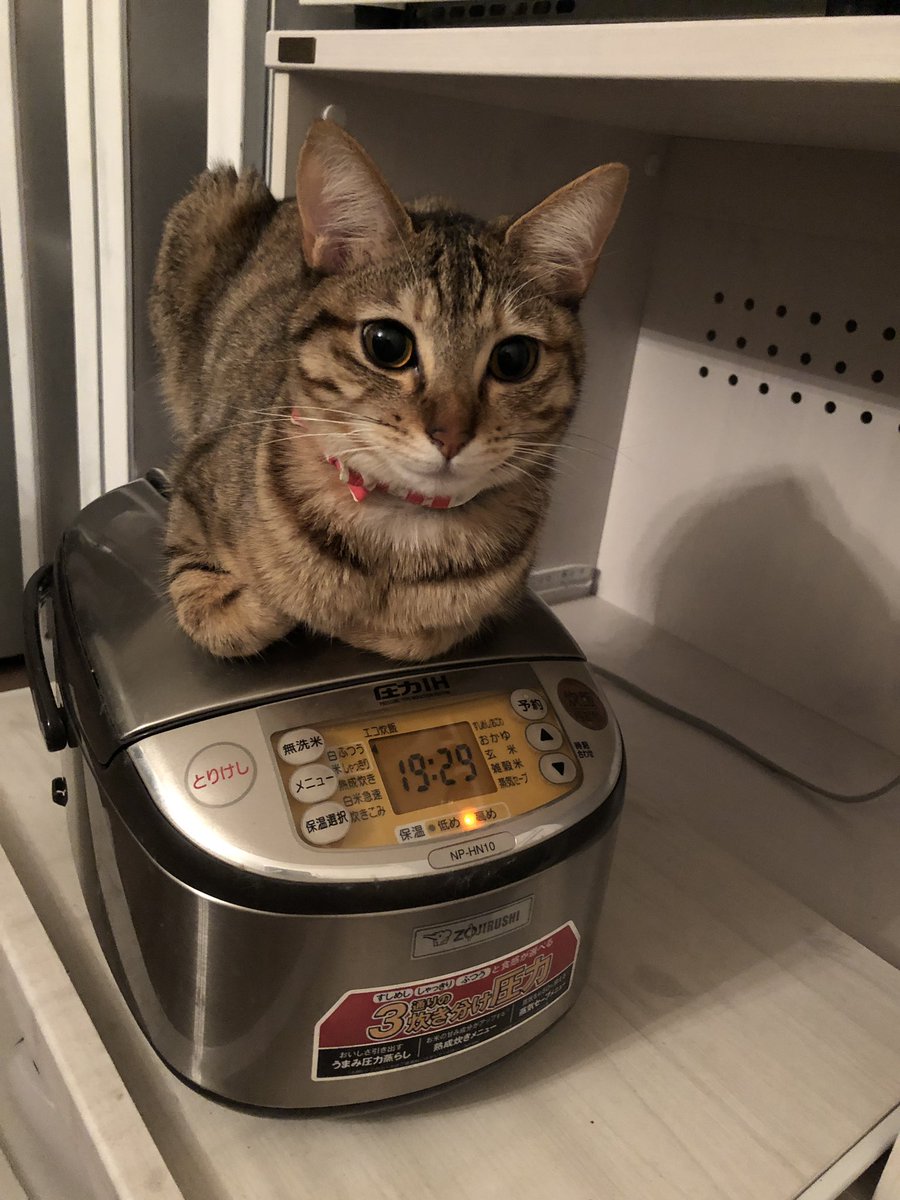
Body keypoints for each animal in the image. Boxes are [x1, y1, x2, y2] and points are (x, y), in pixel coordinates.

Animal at [150, 119, 627, 662]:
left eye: (513, 359)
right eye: (387, 344)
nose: (450, 434)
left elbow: (421, 634)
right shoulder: (191, 490)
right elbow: (223, 609)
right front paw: (275, 605)